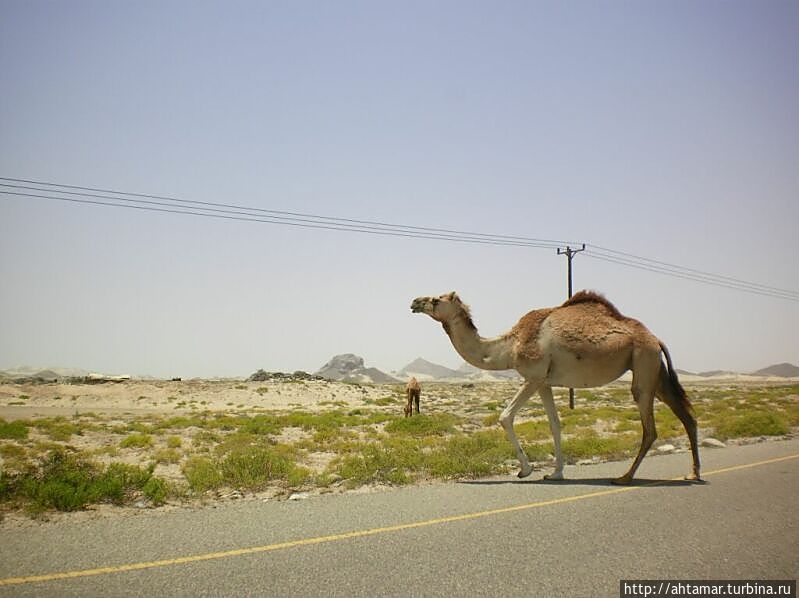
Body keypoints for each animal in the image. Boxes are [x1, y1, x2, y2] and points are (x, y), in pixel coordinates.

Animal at [412, 292, 700, 488]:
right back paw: (694, 473)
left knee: (650, 428)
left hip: (643, 363)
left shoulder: (533, 376)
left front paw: (525, 470)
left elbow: (505, 416)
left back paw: (625, 477)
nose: (414, 302)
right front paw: (556, 473)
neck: (509, 346)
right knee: (687, 416)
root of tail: (656, 339)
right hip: (654, 372)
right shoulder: (544, 383)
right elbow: (555, 424)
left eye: (436, 299)